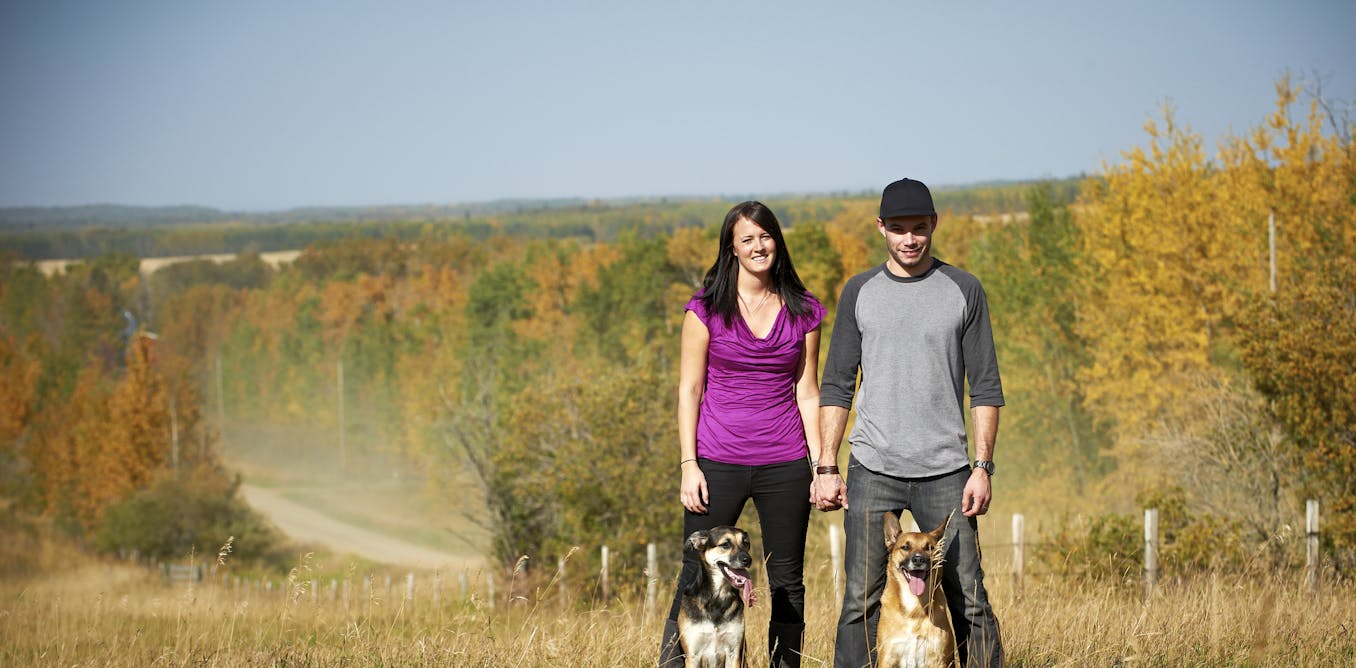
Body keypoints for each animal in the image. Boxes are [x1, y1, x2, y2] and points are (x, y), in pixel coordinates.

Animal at [675, 525, 759, 666]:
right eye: (725, 544)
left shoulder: (734, 654)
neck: (717, 597)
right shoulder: (693, 656)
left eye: (746, 543)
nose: (748, 560)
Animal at [873, 512, 960, 663]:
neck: (914, 605)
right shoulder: (888, 657)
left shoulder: (937, 659)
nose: (918, 560)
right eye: (905, 547)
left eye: (930, 548)